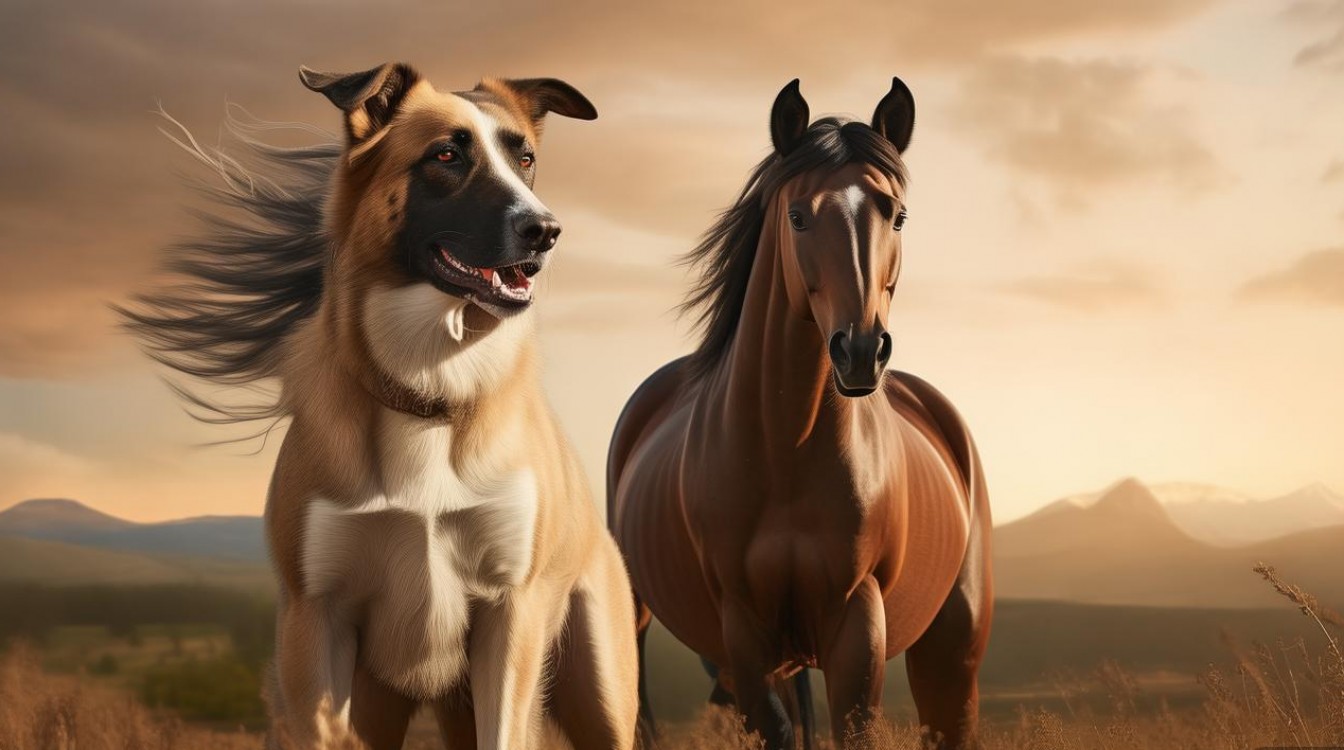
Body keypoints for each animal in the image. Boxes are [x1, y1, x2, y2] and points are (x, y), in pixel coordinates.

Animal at [607, 78, 993, 749]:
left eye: (897, 214)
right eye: (797, 216)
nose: (861, 351)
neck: (787, 450)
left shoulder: (857, 624)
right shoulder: (745, 637)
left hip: (951, 654)